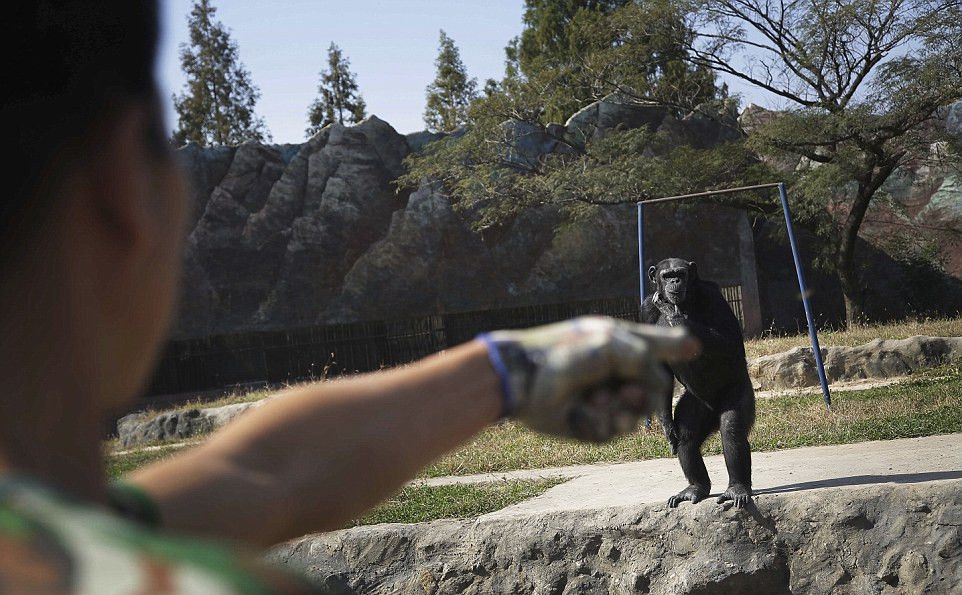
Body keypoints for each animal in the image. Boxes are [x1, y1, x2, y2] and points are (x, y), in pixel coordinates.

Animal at [640, 258, 752, 510]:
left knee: (731, 430)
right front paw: (666, 424)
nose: (674, 281)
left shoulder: (713, 295)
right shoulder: (646, 311)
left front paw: (673, 315)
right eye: (666, 274)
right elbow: (658, 368)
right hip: (696, 405)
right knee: (687, 439)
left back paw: (737, 489)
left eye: (680, 273)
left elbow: (729, 340)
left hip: (739, 390)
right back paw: (695, 488)